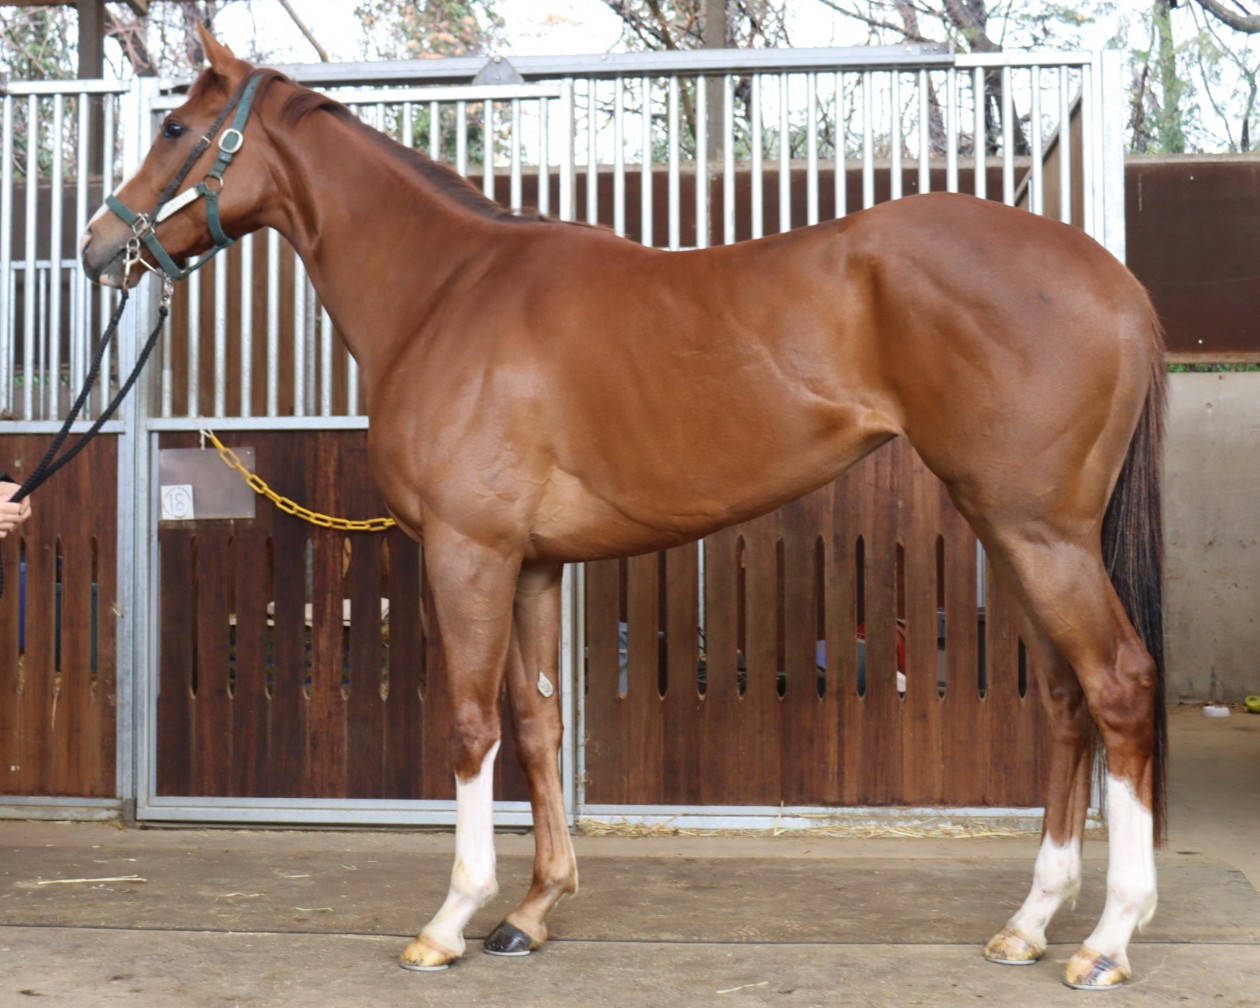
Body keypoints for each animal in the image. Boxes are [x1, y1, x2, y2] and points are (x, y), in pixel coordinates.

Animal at [81, 24, 1167, 990]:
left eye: (176, 126)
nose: (98, 245)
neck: (446, 292)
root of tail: (1114, 282)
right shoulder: (530, 564)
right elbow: (536, 725)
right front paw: (528, 912)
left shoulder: (468, 554)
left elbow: (470, 725)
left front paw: (450, 920)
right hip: (1010, 533)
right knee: (1066, 700)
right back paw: (1030, 924)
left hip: (1040, 534)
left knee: (1117, 684)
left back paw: (1109, 940)